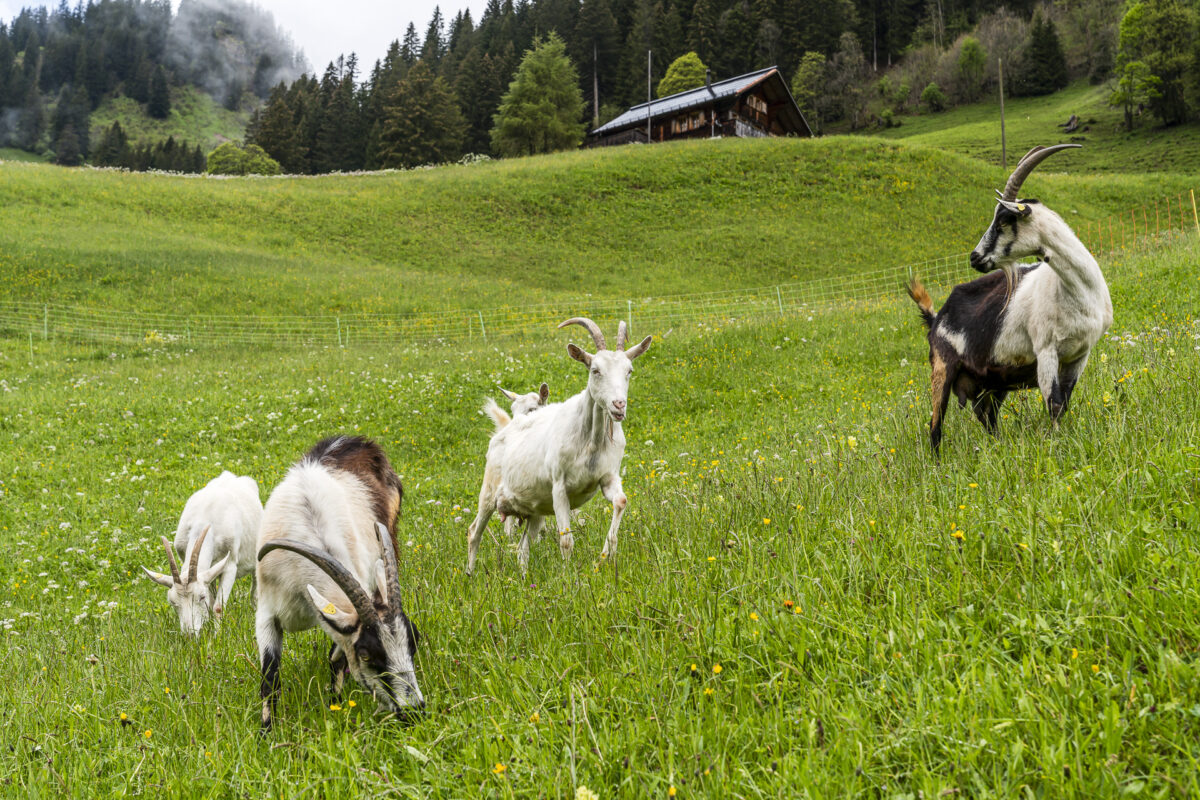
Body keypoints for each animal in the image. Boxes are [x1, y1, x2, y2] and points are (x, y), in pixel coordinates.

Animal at [141, 471, 262, 635]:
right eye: (172, 601)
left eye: (201, 596)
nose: (190, 634)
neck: (204, 520)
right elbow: (210, 604)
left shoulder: (230, 565)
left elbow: (218, 607)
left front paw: (217, 636)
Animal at [255, 435, 423, 731]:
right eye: (366, 654)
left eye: (414, 641)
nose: (413, 710)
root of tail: (355, 440)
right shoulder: (266, 612)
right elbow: (270, 677)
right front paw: (266, 733)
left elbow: (337, 658)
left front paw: (336, 703)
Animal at [466, 317, 652, 574]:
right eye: (595, 370)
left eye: (629, 371)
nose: (618, 405)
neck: (590, 441)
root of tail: (502, 432)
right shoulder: (559, 488)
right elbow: (565, 539)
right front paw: (569, 576)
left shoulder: (608, 477)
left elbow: (620, 502)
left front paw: (605, 556)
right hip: (490, 489)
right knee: (475, 531)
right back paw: (470, 574)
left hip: (534, 508)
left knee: (522, 548)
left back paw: (523, 577)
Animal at [907, 144, 1112, 455]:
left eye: (1004, 220)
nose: (975, 257)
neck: (1078, 291)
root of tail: (935, 318)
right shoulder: (1046, 349)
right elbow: (1053, 403)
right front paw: (1058, 445)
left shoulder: (1080, 354)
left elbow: (1063, 402)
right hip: (942, 367)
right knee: (935, 425)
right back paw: (937, 463)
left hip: (994, 379)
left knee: (985, 415)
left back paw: (997, 447)